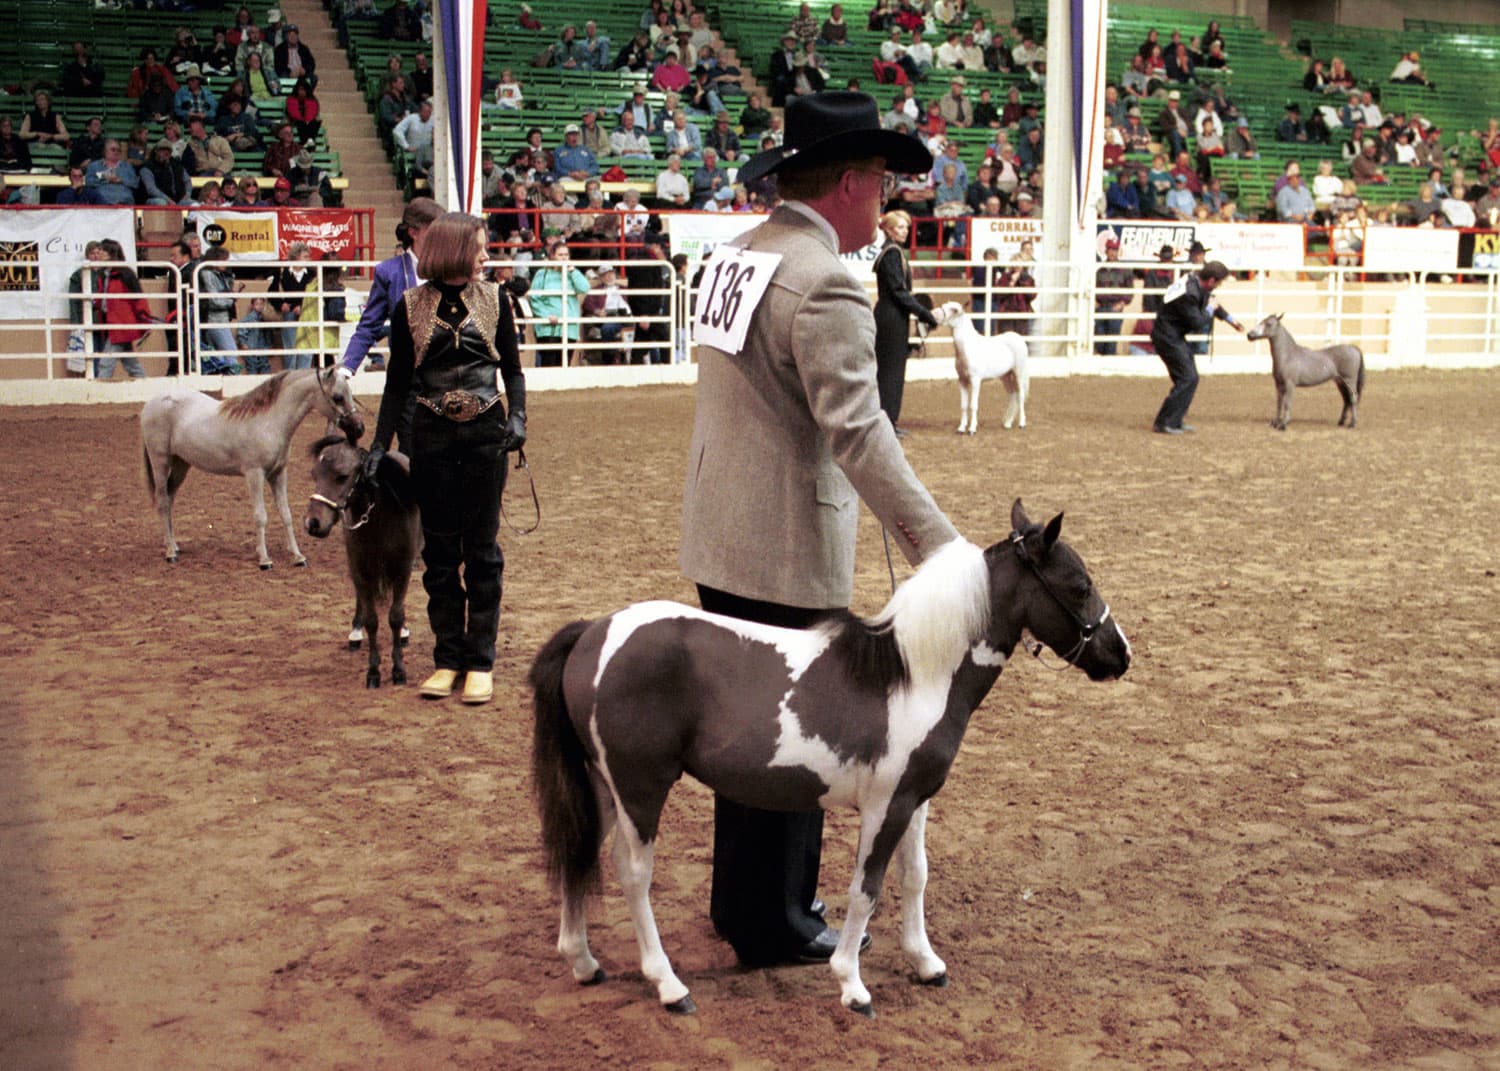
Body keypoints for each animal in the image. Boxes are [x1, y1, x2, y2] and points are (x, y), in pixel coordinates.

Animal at [140, 367, 362, 569]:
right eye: (338, 397)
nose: (359, 428)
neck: (269, 422)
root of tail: (152, 402)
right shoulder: (254, 474)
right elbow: (260, 516)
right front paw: (264, 560)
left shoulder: (279, 474)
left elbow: (286, 514)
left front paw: (298, 556)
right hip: (161, 462)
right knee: (162, 502)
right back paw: (170, 553)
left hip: (181, 465)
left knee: (170, 499)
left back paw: (174, 545)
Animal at [304, 432, 420, 689]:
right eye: (314, 474)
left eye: (342, 476)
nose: (312, 523)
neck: (379, 518)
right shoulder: (360, 569)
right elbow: (371, 619)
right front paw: (373, 671)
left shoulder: (402, 569)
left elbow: (395, 616)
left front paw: (398, 669)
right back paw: (355, 633)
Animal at [530, 500, 1130, 1018]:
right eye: (1079, 586)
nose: (1121, 654)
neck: (912, 674)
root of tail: (593, 633)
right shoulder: (885, 806)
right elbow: (866, 889)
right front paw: (852, 984)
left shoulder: (915, 800)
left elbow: (915, 875)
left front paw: (926, 963)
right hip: (640, 788)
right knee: (633, 874)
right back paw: (668, 985)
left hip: (602, 785)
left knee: (581, 852)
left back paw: (583, 962)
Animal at [938, 301, 1029, 434]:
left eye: (954, 310)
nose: (936, 315)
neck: (967, 348)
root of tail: (1019, 338)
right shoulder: (962, 380)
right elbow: (964, 405)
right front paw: (961, 428)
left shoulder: (975, 380)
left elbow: (973, 405)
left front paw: (972, 429)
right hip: (1005, 376)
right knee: (1013, 395)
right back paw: (1007, 423)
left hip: (1019, 373)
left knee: (1021, 396)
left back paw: (1022, 423)